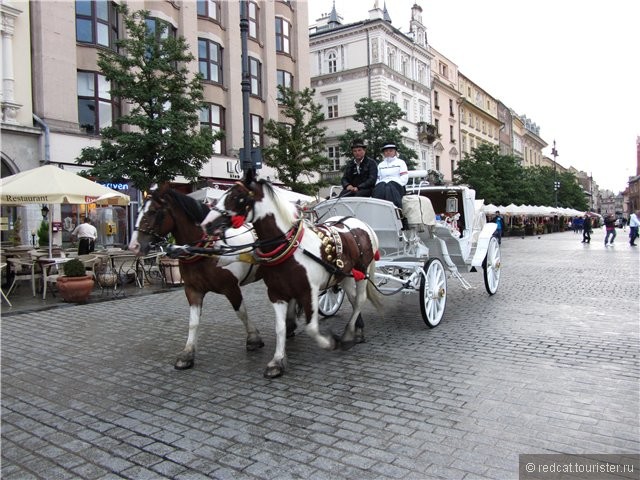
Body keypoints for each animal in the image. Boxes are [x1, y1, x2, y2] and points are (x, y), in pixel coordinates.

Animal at [128, 186, 298, 370]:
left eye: (153, 211)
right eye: (138, 211)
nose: (134, 246)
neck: (207, 249)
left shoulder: (231, 288)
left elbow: (241, 313)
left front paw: (253, 338)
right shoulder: (192, 290)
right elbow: (193, 322)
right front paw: (187, 353)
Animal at [201, 172, 380, 378]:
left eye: (237, 197)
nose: (206, 224)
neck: (292, 248)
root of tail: (360, 223)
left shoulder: (309, 292)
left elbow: (311, 327)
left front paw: (329, 342)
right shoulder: (276, 293)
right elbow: (280, 328)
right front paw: (277, 361)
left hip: (362, 272)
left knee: (359, 300)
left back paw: (348, 334)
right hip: (345, 275)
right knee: (352, 298)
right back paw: (357, 331)